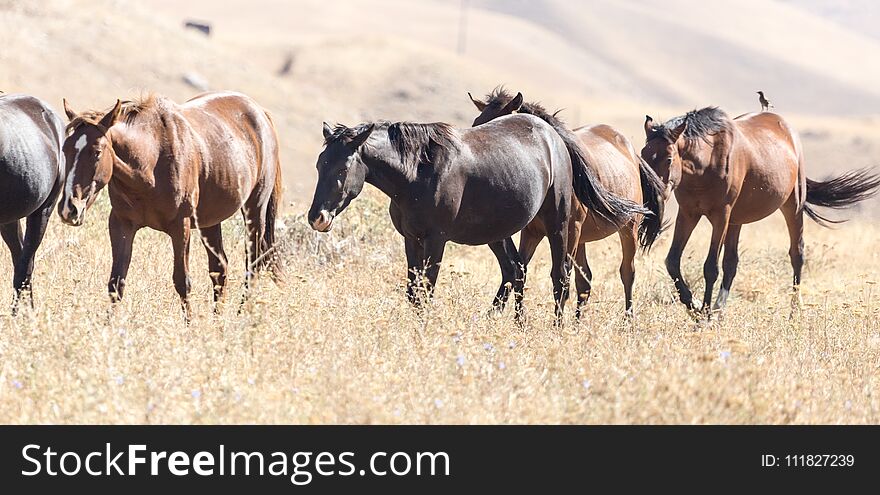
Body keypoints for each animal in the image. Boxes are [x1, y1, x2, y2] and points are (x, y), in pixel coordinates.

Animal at [57, 91, 282, 320]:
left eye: (97, 152)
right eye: (65, 150)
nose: (69, 208)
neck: (150, 163)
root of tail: (260, 113)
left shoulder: (180, 226)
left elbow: (182, 281)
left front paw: (190, 325)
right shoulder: (121, 224)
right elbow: (116, 282)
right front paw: (107, 324)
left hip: (255, 210)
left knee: (253, 264)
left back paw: (240, 315)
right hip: (210, 222)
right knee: (220, 269)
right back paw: (218, 320)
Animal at [306, 117, 644, 324]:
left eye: (342, 169)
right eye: (320, 165)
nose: (317, 218)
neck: (417, 173)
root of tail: (555, 137)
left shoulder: (436, 239)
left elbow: (427, 289)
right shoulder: (411, 239)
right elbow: (413, 291)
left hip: (560, 227)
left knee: (560, 279)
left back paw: (557, 329)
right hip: (505, 233)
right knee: (517, 271)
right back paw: (518, 325)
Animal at [464, 86, 664, 316]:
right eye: (476, 124)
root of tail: (631, 151)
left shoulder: (569, 229)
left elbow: (559, 275)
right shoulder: (531, 232)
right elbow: (519, 270)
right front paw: (497, 313)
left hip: (626, 229)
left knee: (627, 273)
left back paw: (628, 319)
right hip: (583, 239)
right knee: (585, 281)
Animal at [640, 108, 880, 318]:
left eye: (669, 159)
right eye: (643, 154)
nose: (652, 194)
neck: (707, 162)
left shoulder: (721, 216)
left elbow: (710, 267)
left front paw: (703, 315)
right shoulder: (689, 213)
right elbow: (673, 261)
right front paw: (696, 307)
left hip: (792, 206)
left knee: (797, 254)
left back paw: (793, 314)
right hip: (736, 220)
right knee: (731, 262)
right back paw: (719, 311)